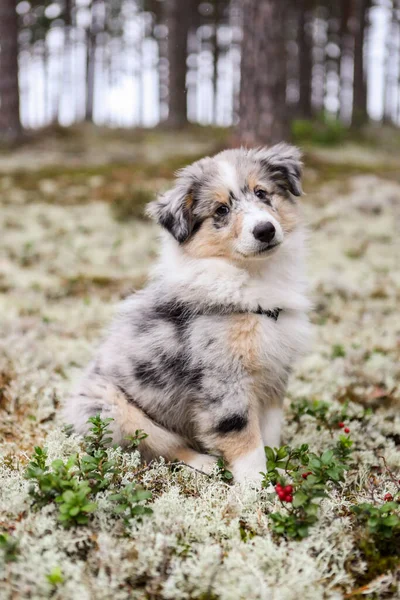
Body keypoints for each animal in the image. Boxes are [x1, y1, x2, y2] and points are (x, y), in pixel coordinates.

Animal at [64, 144, 310, 482]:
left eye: (262, 193)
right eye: (220, 210)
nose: (265, 230)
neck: (252, 280)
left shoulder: (274, 373)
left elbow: (269, 432)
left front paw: (279, 469)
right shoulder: (224, 380)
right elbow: (245, 438)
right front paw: (257, 486)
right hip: (116, 412)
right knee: (165, 447)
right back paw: (207, 464)